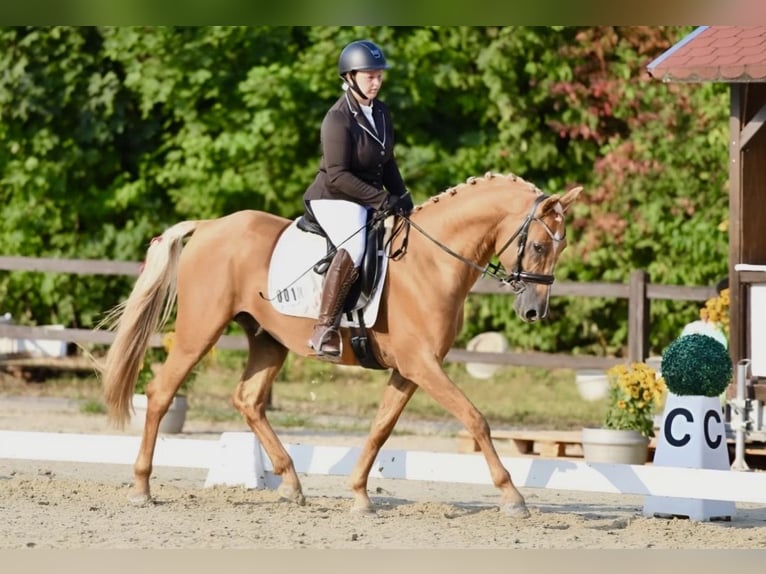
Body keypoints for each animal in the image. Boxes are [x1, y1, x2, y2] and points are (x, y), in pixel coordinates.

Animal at [101, 171, 582, 518]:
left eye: (560, 249)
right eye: (540, 245)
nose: (534, 312)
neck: (432, 262)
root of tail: (210, 226)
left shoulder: (409, 369)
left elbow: (381, 429)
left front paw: (359, 495)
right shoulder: (423, 365)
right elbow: (475, 419)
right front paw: (512, 496)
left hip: (267, 339)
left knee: (249, 399)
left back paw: (291, 485)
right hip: (200, 330)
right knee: (161, 392)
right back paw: (141, 487)